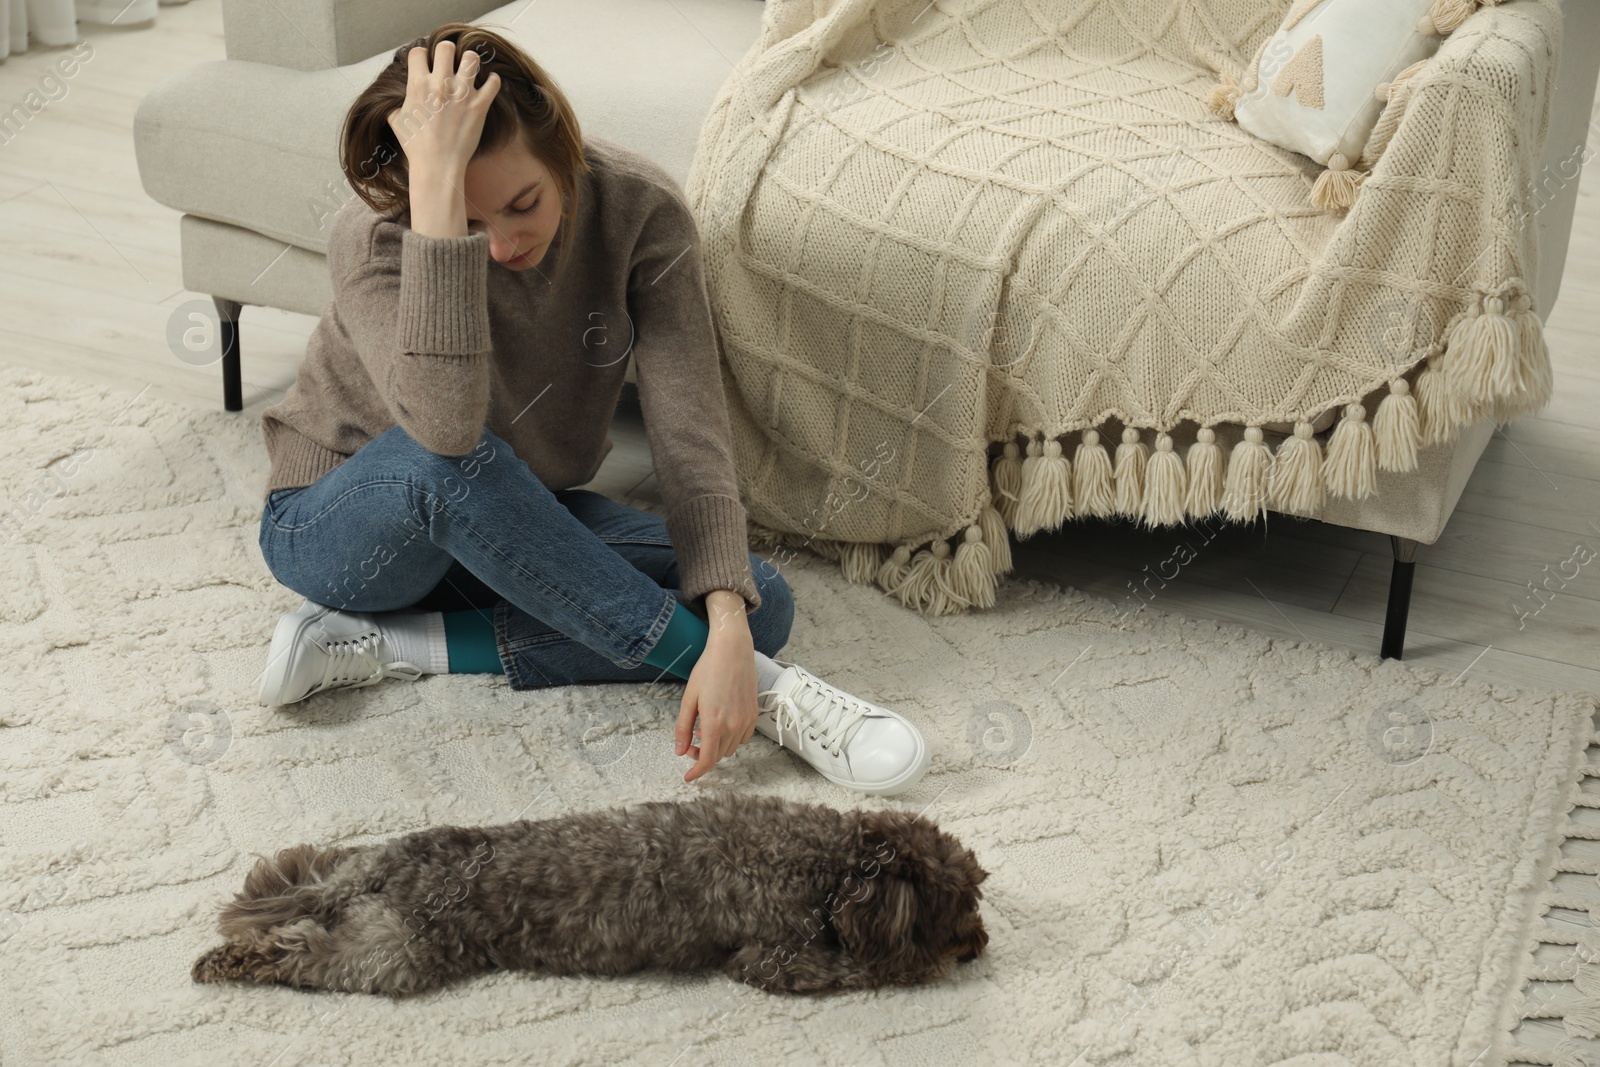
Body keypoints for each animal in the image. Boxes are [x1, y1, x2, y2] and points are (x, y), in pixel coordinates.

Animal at [188, 790, 985, 998]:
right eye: (959, 916)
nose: (979, 948)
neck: (829, 866)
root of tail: (393, 865)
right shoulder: (774, 958)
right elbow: (862, 967)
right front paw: (922, 965)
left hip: (363, 895)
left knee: (307, 892)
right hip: (394, 953)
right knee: (298, 952)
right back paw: (228, 962)